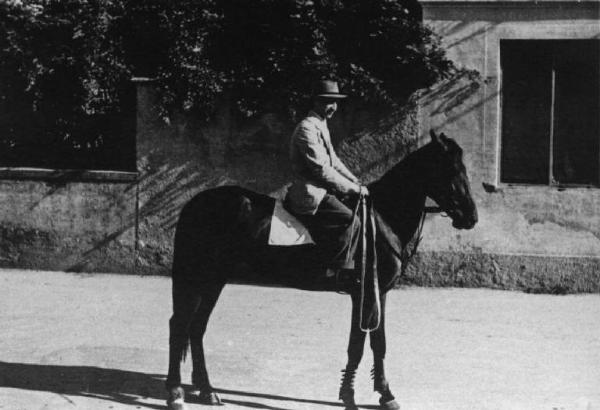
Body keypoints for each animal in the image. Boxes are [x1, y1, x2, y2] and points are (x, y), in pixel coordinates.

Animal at [164, 131, 478, 410]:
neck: (380, 220)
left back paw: (206, 390)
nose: (471, 217)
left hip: (213, 280)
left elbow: (378, 344)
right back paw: (176, 392)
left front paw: (383, 394)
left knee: (196, 328)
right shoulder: (364, 293)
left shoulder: (379, 293)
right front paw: (351, 395)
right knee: (180, 326)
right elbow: (359, 345)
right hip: (197, 277)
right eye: (452, 170)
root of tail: (195, 204)